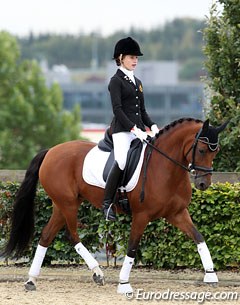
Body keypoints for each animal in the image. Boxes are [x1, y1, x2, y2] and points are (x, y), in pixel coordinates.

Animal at [1, 117, 228, 292]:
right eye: (201, 150)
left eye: (216, 151)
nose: (203, 184)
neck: (165, 168)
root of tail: (50, 151)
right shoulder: (142, 215)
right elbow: (132, 248)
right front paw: (124, 284)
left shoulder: (178, 213)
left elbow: (199, 237)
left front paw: (211, 276)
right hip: (67, 204)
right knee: (71, 235)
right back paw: (97, 273)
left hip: (62, 204)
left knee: (47, 236)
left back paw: (32, 280)